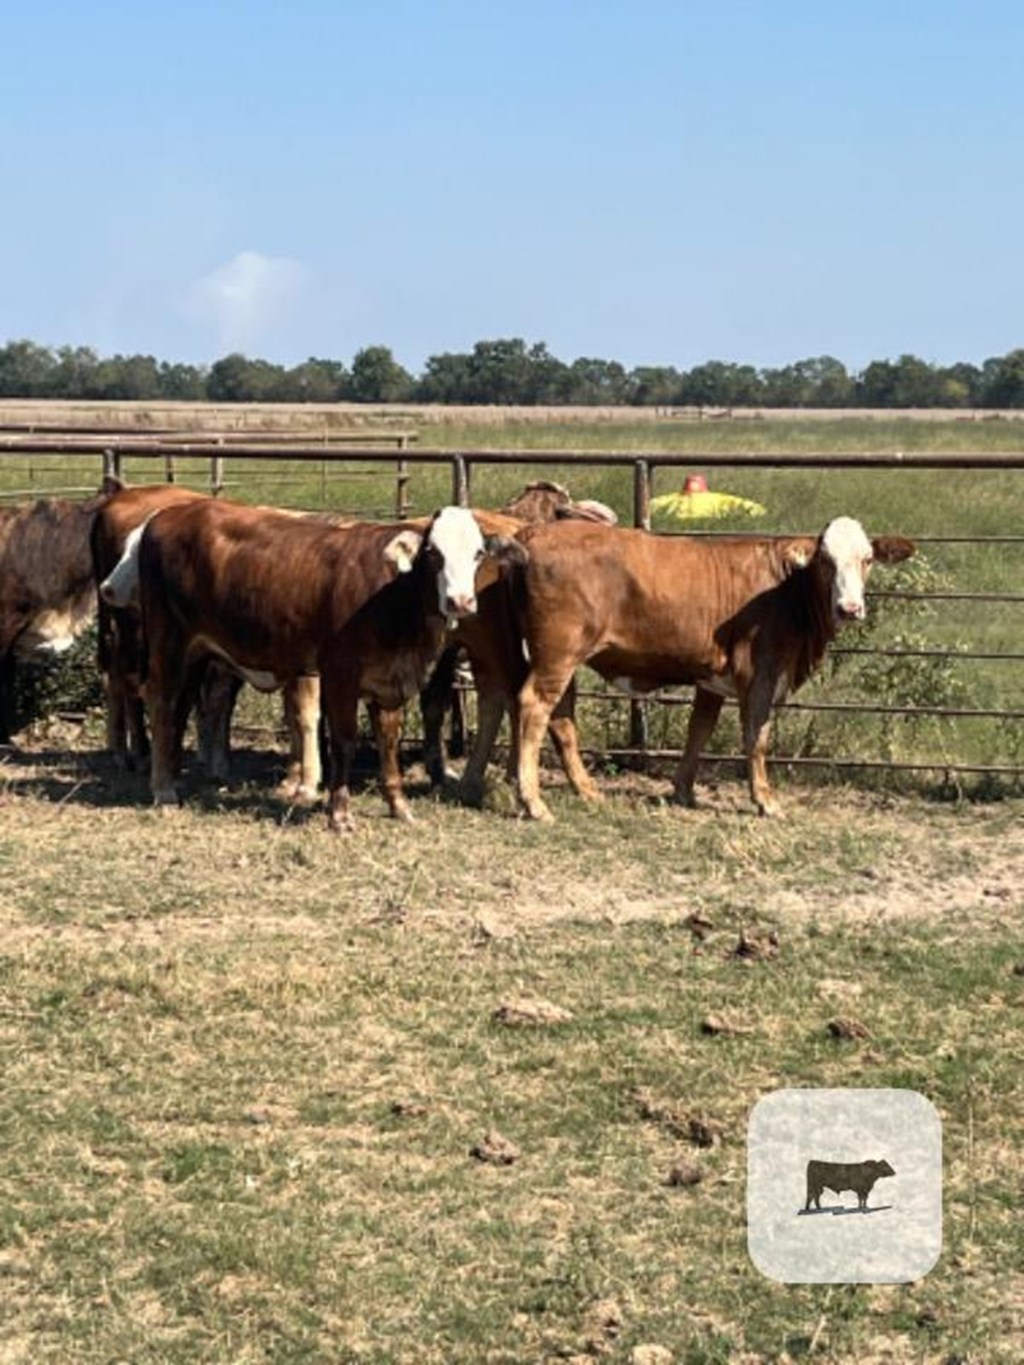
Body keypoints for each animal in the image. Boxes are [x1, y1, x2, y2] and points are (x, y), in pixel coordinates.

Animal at [118, 496, 529, 824]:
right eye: (434, 554)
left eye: (477, 554)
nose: (460, 601)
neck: (391, 591)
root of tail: (165, 517)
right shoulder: (339, 675)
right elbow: (343, 741)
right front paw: (339, 813)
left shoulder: (389, 681)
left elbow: (389, 743)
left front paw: (399, 807)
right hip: (169, 642)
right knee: (161, 703)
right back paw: (164, 790)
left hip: (197, 652)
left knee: (182, 706)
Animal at [510, 513, 917, 819]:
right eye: (825, 561)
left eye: (867, 559)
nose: (849, 608)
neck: (786, 589)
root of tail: (536, 532)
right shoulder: (758, 674)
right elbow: (757, 738)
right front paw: (765, 801)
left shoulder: (711, 679)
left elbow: (699, 732)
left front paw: (682, 792)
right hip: (557, 655)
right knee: (534, 707)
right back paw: (534, 803)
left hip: (560, 660)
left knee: (561, 719)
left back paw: (587, 790)